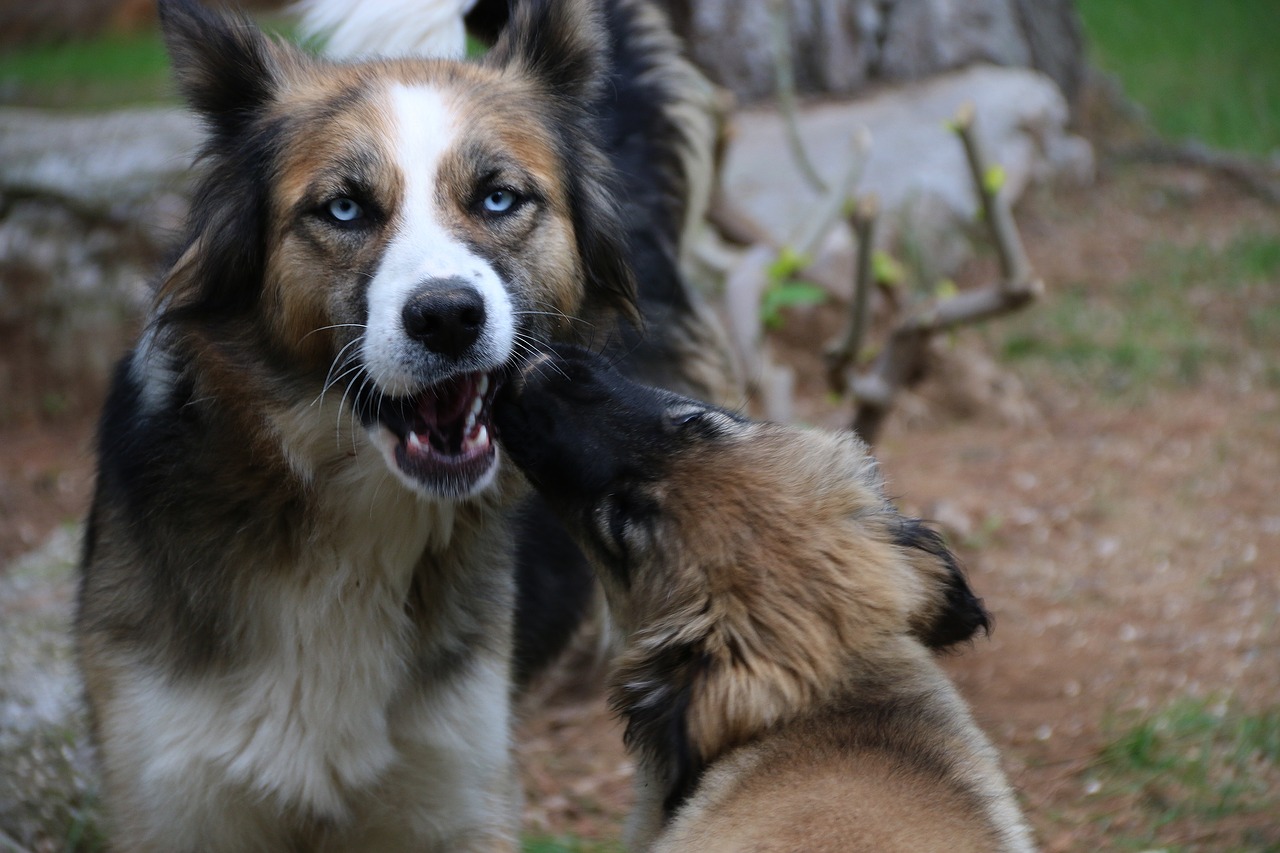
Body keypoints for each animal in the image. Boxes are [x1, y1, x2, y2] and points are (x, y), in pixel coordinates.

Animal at [80, 0, 737, 845]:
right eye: (344, 209)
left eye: (498, 198)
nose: (449, 317)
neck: (346, 521)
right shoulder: (172, 798)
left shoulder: (458, 790)